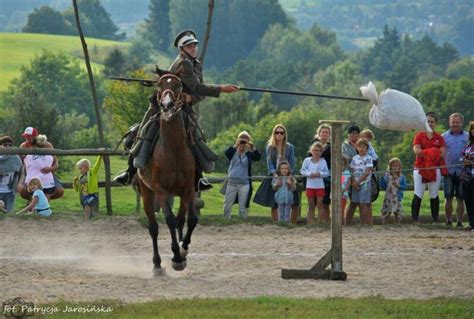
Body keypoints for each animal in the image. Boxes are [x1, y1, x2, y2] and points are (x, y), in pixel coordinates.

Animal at [137, 72, 196, 276]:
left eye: (178, 85)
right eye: (160, 85)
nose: (167, 105)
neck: (173, 149)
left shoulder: (188, 189)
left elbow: (191, 219)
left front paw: (183, 250)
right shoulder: (161, 191)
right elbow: (169, 220)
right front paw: (176, 257)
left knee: (180, 220)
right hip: (147, 192)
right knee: (154, 228)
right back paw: (157, 264)